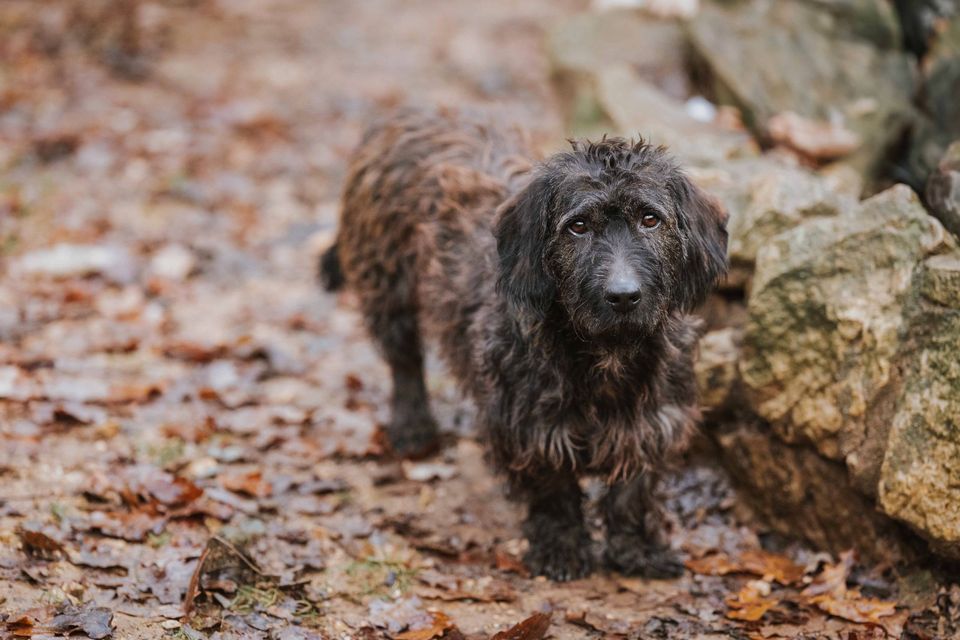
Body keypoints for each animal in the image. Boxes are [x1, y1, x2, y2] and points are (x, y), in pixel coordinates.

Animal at [322, 107, 728, 584]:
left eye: (650, 219)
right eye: (578, 226)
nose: (623, 296)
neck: (604, 355)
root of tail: (413, 113)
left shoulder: (653, 423)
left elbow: (633, 492)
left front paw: (638, 550)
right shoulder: (528, 429)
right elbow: (552, 491)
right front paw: (561, 549)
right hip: (389, 289)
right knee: (404, 363)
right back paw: (412, 425)